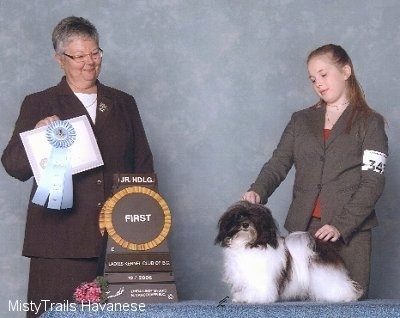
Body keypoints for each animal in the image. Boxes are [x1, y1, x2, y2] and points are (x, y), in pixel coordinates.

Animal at [216, 201, 362, 304]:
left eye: (255, 218)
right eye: (239, 216)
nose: (245, 224)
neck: (248, 244)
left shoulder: (261, 276)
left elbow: (260, 288)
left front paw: (257, 298)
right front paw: (243, 297)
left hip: (325, 274)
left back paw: (347, 296)